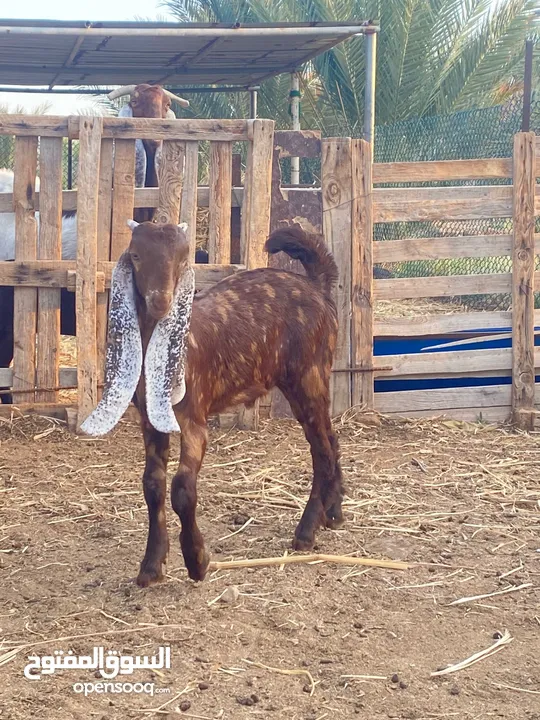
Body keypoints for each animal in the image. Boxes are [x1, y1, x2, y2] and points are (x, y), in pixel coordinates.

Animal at [81, 221, 342, 584]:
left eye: (184, 258)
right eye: (135, 255)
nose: (161, 301)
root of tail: (316, 286)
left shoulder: (194, 417)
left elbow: (182, 489)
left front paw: (197, 560)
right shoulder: (150, 419)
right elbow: (153, 485)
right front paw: (151, 566)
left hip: (308, 375)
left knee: (322, 449)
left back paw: (306, 532)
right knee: (332, 439)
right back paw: (334, 513)